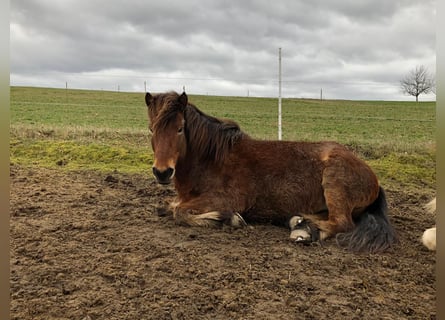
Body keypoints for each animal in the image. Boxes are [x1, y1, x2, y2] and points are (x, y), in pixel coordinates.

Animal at [147, 91, 398, 254]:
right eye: (151, 129)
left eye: (180, 129)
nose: (162, 172)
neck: (212, 160)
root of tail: (373, 179)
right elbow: (169, 207)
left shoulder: (227, 199)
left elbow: (179, 212)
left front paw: (227, 219)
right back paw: (301, 223)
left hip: (334, 184)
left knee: (343, 223)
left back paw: (306, 232)